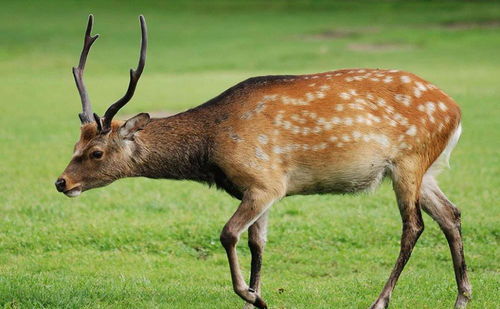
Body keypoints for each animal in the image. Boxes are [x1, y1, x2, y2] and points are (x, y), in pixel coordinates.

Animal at [56, 15, 470, 308]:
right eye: (75, 142)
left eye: (96, 152)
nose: (61, 182)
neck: (211, 148)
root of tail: (455, 110)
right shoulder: (261, 190)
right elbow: (258, 242)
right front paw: (257, 297)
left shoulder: (264, 180)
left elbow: (228, 234)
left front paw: (251, 296)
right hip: (426, 169)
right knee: (450, 214)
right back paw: (462, 297)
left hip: (409, 160)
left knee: (414, 226)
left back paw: (380, 300)